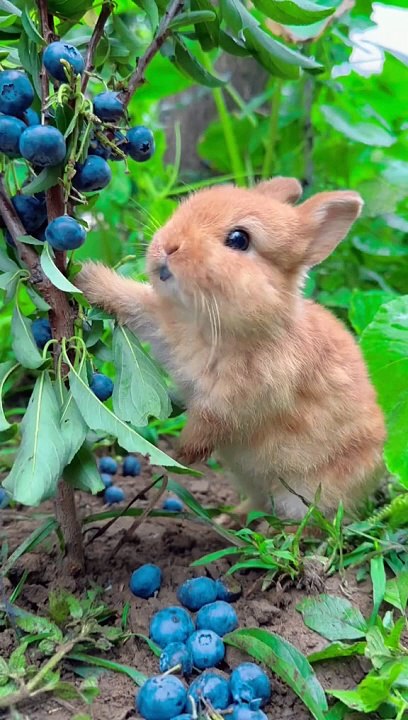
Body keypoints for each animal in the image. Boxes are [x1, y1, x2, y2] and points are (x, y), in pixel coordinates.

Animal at [76, 177, 386, 521]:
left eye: (239, 239)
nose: (168, 246)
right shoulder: (164, 326)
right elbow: (134, 301)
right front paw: (86, 276)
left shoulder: (234, 402)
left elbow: (209, 425)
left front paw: (182, 453)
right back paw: (231, 517)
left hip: (307, 495)